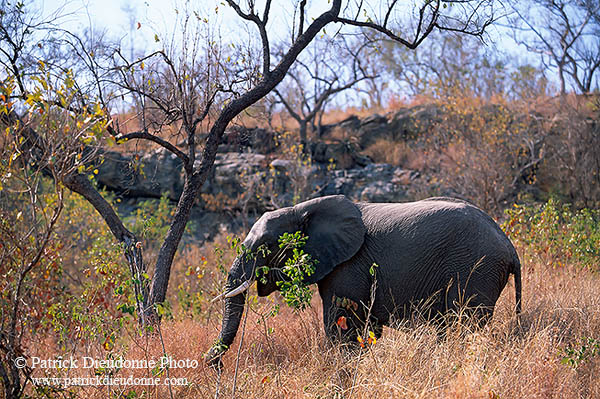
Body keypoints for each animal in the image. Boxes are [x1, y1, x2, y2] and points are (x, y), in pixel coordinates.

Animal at [205, 195, 520, 368]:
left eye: (266, 246)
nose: (213, 364)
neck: (301, 209)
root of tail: (509, 246)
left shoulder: (348, 265)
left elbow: (340, 326)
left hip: (476, 269)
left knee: (463, 323)